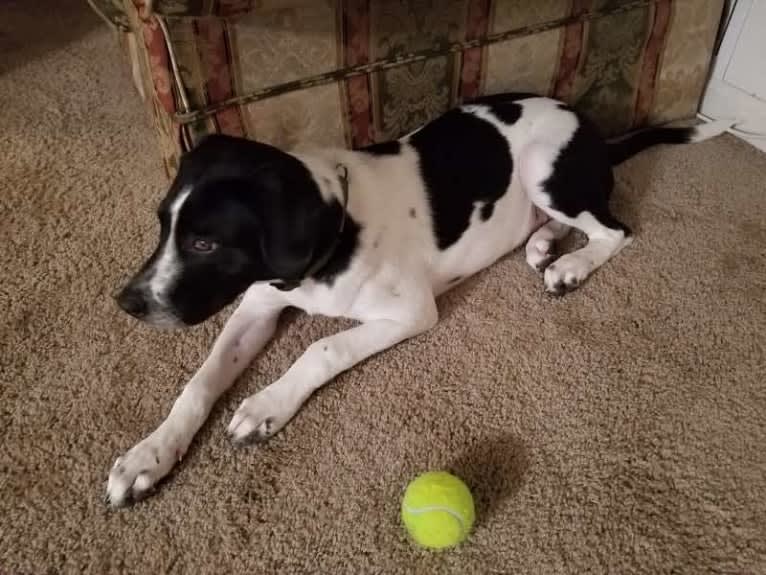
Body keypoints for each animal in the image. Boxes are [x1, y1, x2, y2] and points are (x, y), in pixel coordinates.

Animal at [105, 92, 728, 506]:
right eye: (163, 226)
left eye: (205, 242)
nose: (126, 303)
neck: (332, 239)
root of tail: (585, 121)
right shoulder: (257, 303)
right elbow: (200, 382)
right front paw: (149, 454)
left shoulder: (408, 312)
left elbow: (322, 349)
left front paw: (265, 405)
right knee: (568, 223)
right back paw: (544, 245)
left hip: (543, 170)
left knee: (614, 230)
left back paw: (571, 264)